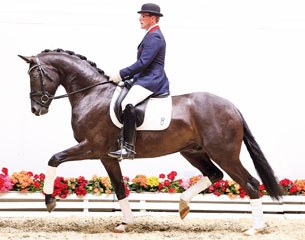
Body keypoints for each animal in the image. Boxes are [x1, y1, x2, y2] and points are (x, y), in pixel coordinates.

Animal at [18, 49, 280, 236]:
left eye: (34, 75)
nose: (35, 109)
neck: (92, 95)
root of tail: (232, 107)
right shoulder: (106, 156)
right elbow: (119, 188)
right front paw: (125, 223)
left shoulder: (91, 147)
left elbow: (54, 158)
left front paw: (50, 201)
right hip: (193, 151)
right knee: (215, 174)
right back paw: (183, 205)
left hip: (224, 153)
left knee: (250, 183)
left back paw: (254, 228)